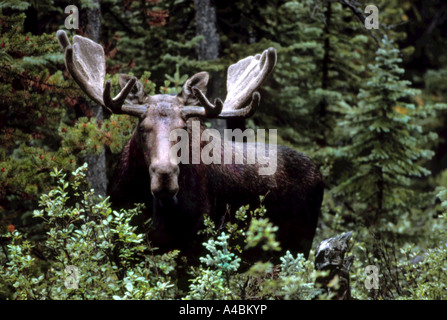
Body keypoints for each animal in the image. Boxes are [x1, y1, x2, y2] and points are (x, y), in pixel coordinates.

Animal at [57, 29, 324, 262]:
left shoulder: (197, 247)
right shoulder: (121, 244)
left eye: (184, 129)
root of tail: (318, 171)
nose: (165, 175)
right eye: (142, 128)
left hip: (300, 245)